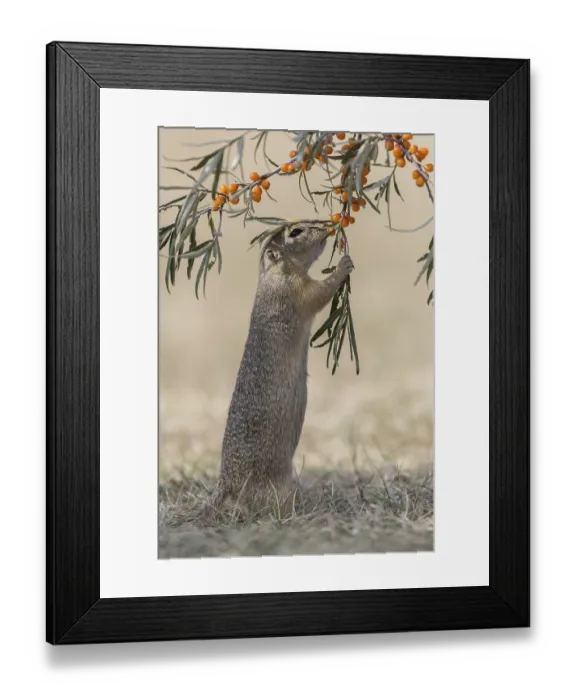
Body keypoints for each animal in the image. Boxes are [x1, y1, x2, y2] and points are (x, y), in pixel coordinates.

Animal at [211, 221, 354, 516]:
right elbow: (319, 292)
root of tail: (226, 486)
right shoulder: (296, 291)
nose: (327, 225)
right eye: (296, 232)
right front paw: (342, 265)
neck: (276, 273)